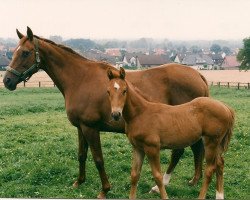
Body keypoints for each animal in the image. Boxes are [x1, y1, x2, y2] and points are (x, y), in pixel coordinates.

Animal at [107, 67, 234, 198]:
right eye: (108, 92)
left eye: (124, 91)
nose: (116, 114)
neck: (140, 114)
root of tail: (226, 108)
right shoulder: (138, 148)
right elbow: (134, 175)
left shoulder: (152, 148)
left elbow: (157, 176)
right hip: (217, 144)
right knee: (220, 163)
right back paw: (219, 195)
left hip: (211, 143)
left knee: (210, 169)